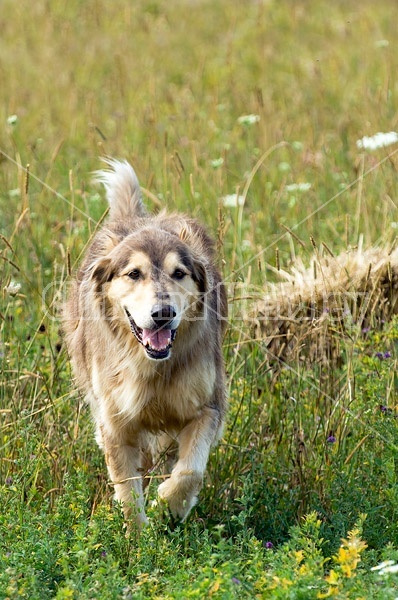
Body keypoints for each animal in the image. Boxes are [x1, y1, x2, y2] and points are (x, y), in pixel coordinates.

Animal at [64, 158, 229, 524]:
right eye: (133, 274)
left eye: (179, 273)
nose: (163, 313)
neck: (153, 368)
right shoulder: (116, 424)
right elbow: (128, 493)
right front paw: (139, 536)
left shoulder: (209, 406)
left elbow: (190, 470)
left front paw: (169, 504)